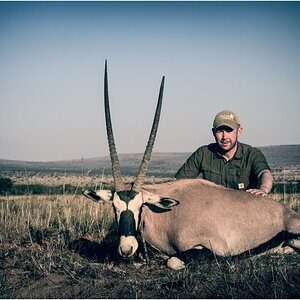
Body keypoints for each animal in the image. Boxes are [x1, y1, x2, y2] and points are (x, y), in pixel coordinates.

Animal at [82, 61, 300, 270]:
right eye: (114, 207)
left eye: (140, 207)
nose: (127, 248)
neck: (168, 216)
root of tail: (288, 212)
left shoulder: (209, 247)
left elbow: (173, 261)